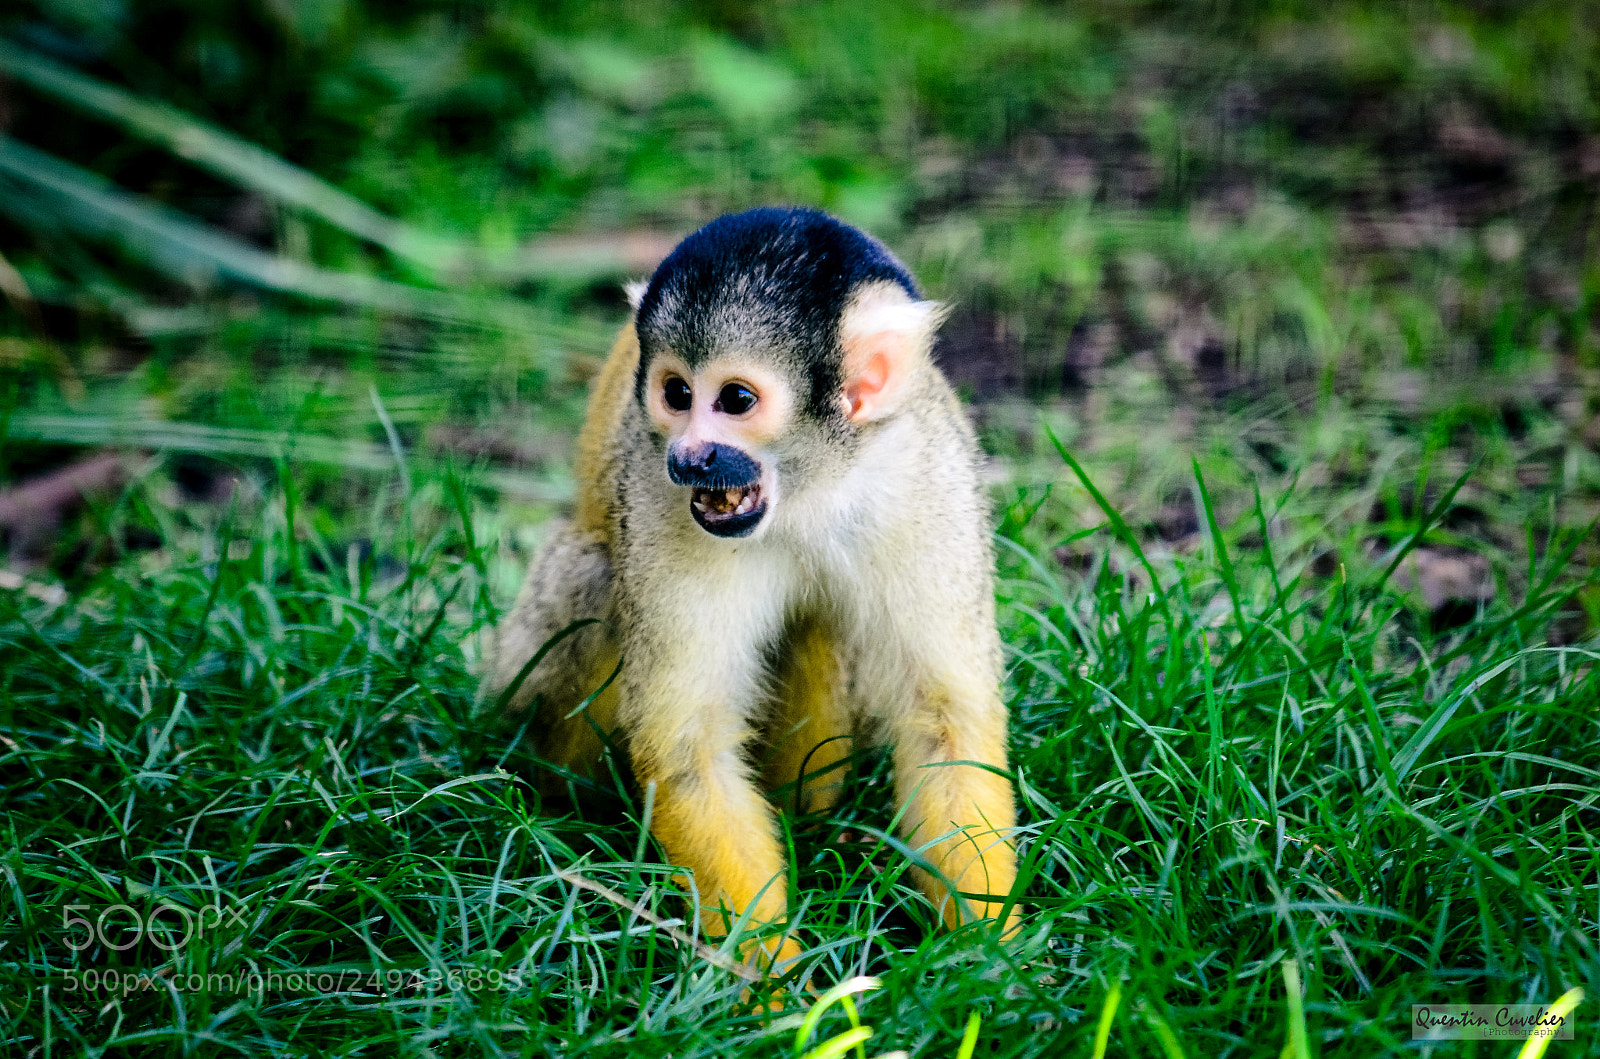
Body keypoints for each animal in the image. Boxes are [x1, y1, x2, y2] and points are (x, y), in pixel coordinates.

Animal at [485, 206, 1018, 975]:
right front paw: (770, 981)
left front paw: (989, 960)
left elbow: (943, 719)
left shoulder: (927, 476)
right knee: (597, 580)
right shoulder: (656, 498)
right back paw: (576, 818)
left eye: (735, 400)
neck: (810, 488)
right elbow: (689, 747)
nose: (689, 457)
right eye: (676, 393)